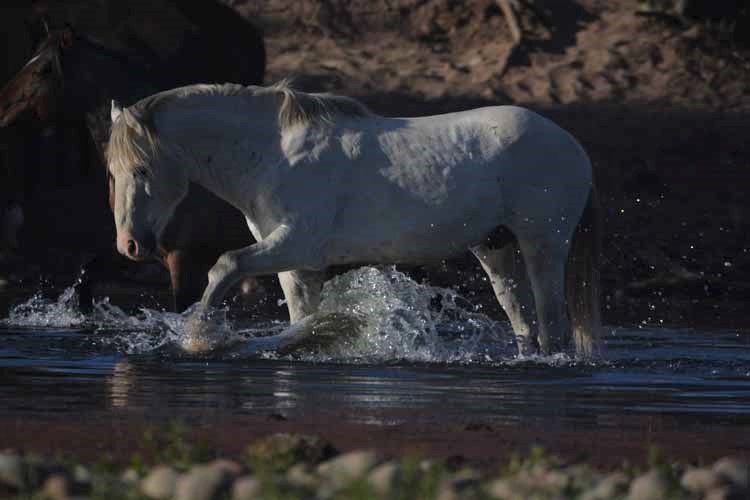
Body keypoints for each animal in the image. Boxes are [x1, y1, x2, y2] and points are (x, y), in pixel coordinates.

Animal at [107, 82, 604, 356]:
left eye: (142, 169)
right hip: (496, 248)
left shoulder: (295, 245)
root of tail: (574, 145)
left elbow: (224, 265)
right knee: (524, 323)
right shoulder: (295, 264)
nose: (129, 245)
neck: (273, 154)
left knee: (553, 325)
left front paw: (197, 337)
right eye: (110, 172)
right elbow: (300, 320)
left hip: (543, 244)